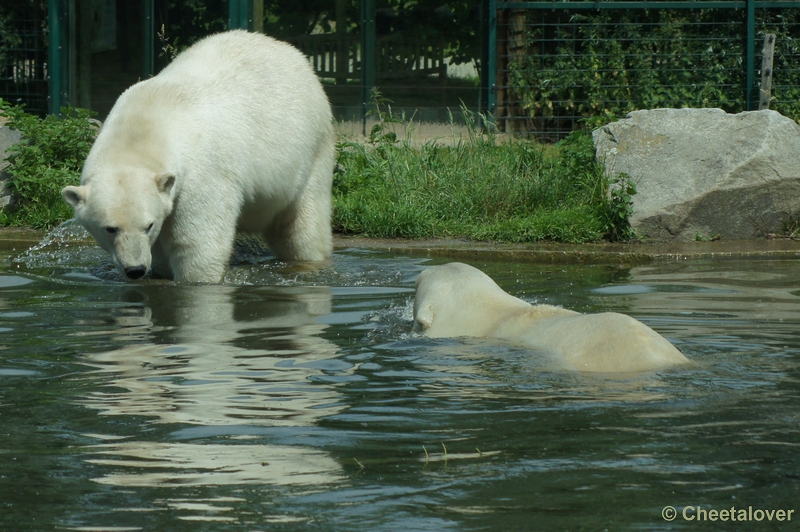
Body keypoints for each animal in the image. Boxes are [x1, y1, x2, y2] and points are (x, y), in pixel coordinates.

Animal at [62, 30, 334, 282]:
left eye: (148, 225)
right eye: (110, 228)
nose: (135, 270)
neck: (145, 122)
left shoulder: (200, 175)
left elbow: (196, 243)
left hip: (311, 146)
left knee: (301, 227)